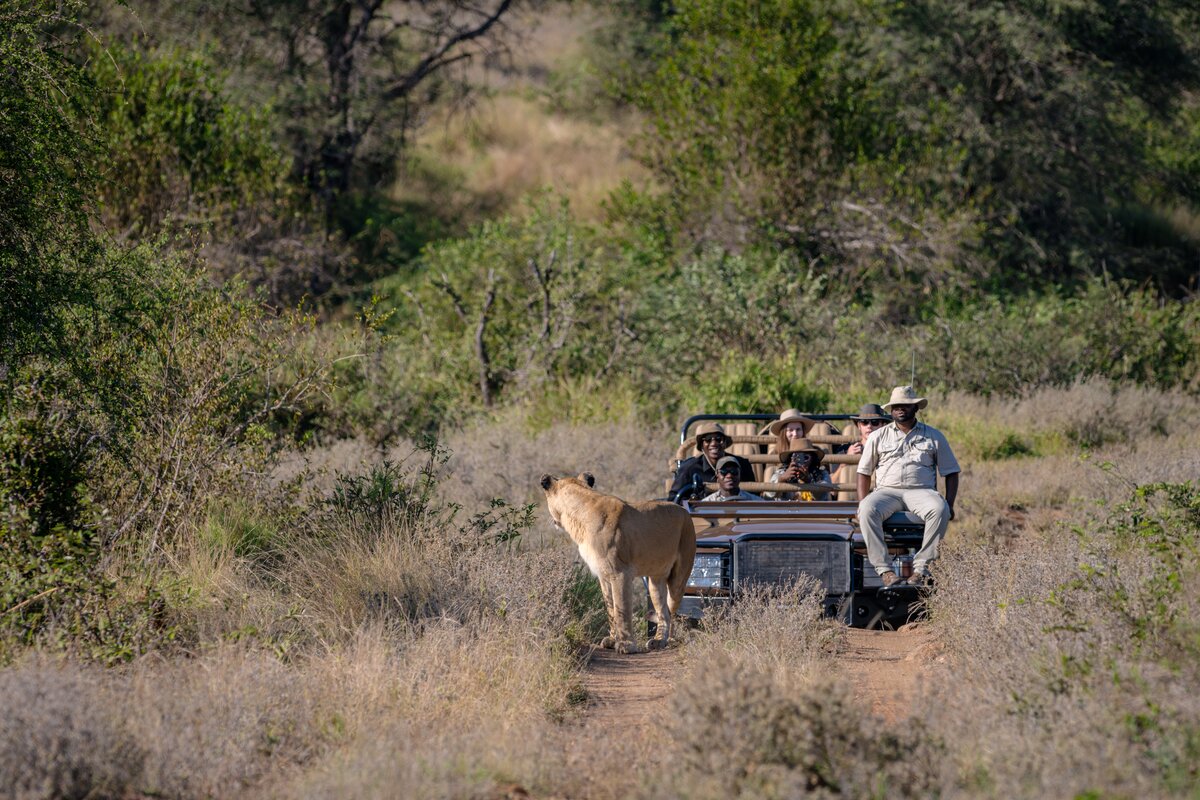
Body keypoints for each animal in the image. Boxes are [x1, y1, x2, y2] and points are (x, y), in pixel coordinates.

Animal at [539, 473, 697, 654]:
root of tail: (684, 509)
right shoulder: (603, 575)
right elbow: (611, 609)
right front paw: (612, 640)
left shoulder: (621, 572)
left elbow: (622, 608)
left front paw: (626, 644)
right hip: (655, 581)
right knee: (663, 611)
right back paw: (658, 641)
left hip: (679, 578)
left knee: (672, 609)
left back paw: (669, 640)